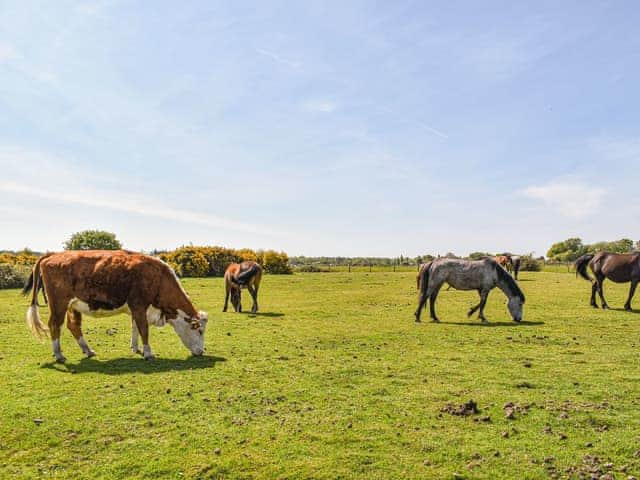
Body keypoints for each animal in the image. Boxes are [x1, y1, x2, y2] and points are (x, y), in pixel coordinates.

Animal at [21, 249, 208, 362]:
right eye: (199, 330)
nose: (201, 351)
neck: (158, 277)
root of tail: (53, 254)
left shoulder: (137, 309)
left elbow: (135, 328)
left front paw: (135, 348)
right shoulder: (139, 305)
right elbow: (144, 329)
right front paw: (148, 353)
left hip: (73, 305)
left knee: (73, 326)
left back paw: (88, 350)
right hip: (59, 303)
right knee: (54, 325)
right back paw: (59, 355)